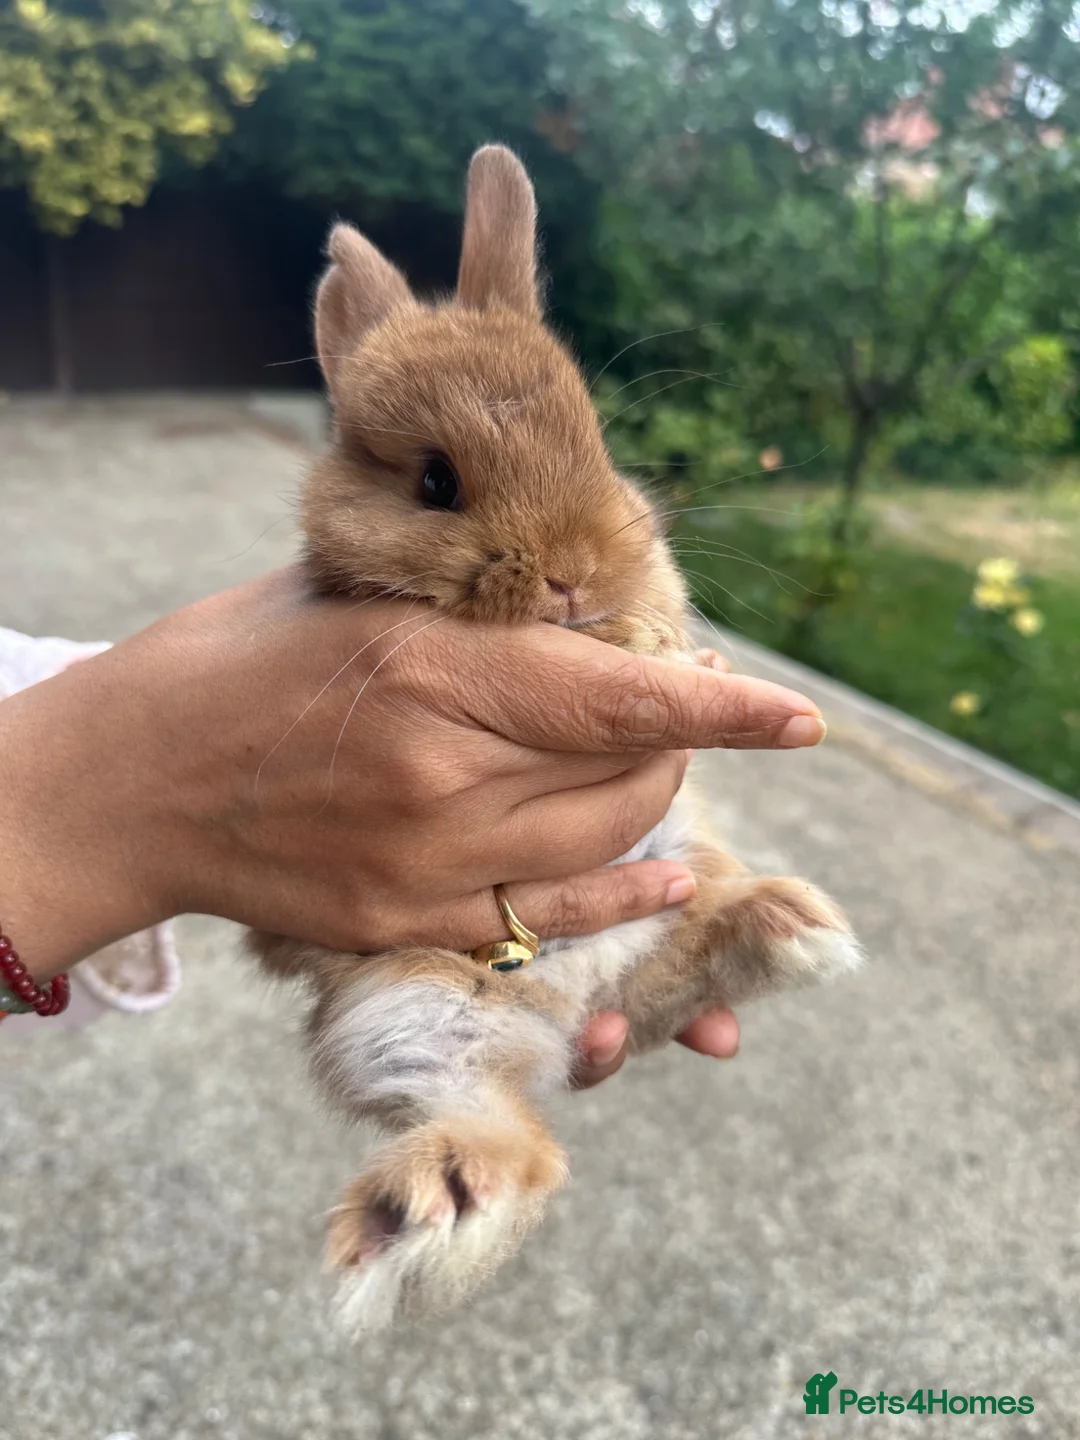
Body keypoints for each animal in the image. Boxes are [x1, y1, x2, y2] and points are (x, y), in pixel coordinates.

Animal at [249, 144, 862, 1335]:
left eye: (597, 441)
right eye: (435, 481)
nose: (574, 574)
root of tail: (575, 999)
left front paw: (661, 645)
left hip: (676, 879)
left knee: (669, 984)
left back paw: (792, 928)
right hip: (402, 1014)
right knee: (515, 1147)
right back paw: (427, 1213)